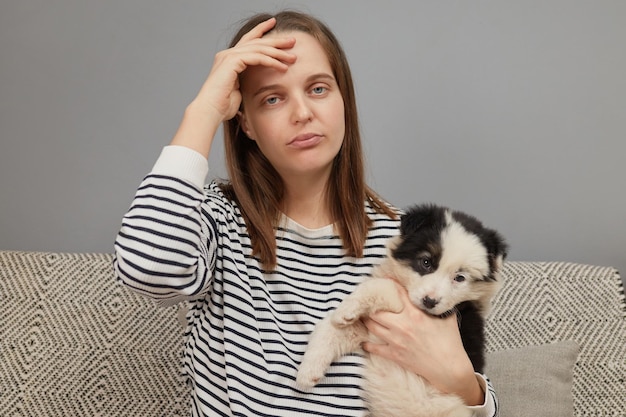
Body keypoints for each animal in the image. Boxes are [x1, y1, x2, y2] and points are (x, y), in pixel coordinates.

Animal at [296, 203, 508, 414]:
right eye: (426, 262)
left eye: (460, 278)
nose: (429, 301)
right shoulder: (369, 329)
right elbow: (329, 330)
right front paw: (307, 372)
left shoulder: (445, 312)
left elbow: (384, 286)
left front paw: (347, 308)